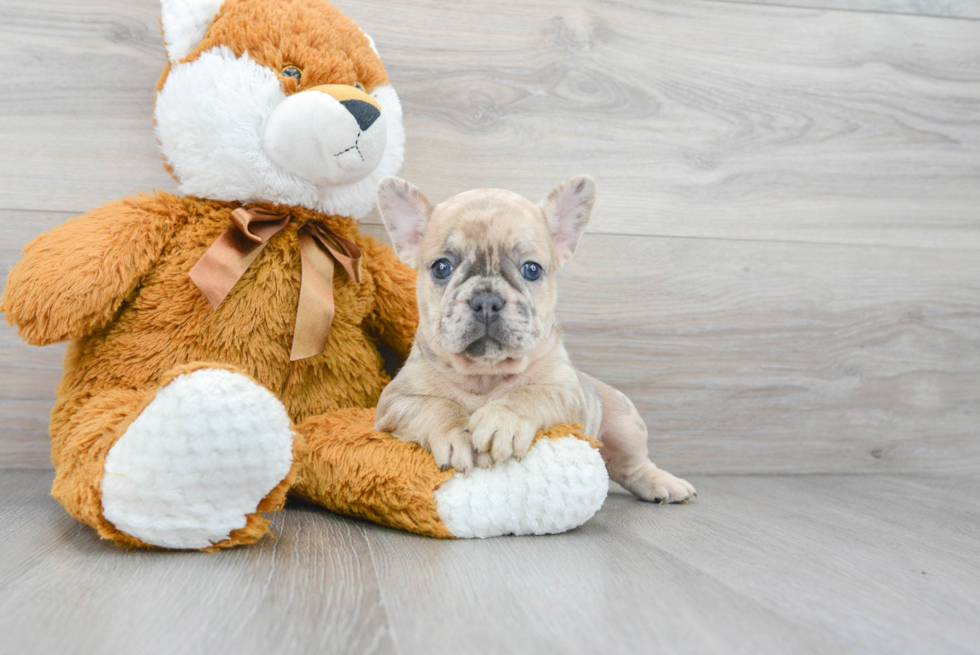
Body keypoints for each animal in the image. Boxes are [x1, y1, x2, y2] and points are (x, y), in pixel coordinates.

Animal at [376, 174, 696, 502]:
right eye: (442, 268)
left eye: (531, 270)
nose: (487, 301)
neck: (485, 374)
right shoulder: (393, 402)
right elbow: (434, 406)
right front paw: (454, 432)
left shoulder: (569, 394)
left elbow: (531, 394)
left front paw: (502, 419)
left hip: (624, 423)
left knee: (631, 466)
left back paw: (662, 483)